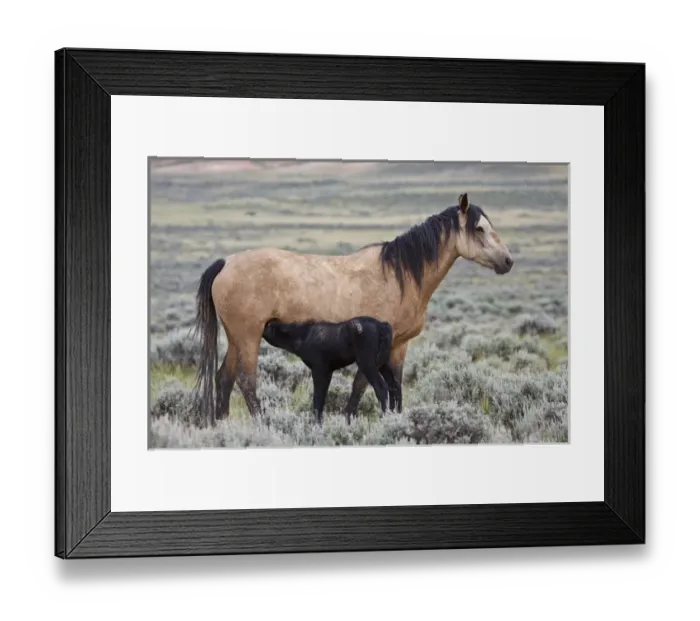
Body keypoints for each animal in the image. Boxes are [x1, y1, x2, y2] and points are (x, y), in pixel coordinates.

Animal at [262, 316, 397, 424]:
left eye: (268, 326)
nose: (262, 328)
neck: (304, 334)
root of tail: (382, 325)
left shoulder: (319, 370)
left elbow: (318, 398)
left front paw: (317, 424)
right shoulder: (327, 372)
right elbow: (322, 398)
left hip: (367, 364)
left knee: (381, 387)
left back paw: (385, 418)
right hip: (383, 364)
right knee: (394, 386)